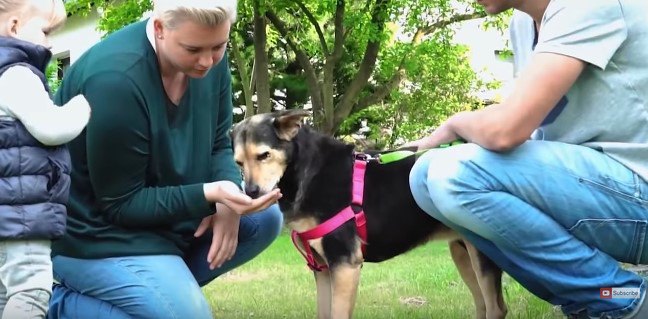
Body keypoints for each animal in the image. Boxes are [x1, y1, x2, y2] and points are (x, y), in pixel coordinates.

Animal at [230, 110, 508, 319]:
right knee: (483, 305)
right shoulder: (322, 268)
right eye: (238, 162)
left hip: (481, 255)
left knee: (496, 309)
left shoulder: (345, 264)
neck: (306, 173)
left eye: (264, 155)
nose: (251, 192)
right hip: (461, 252)